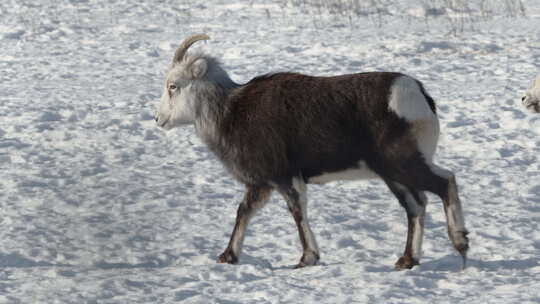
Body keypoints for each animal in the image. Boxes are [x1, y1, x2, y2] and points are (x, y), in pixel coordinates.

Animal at [155, 34, 468, 270]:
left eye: (173, 86)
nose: (159, 119)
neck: (230, 113)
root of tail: (419, 96)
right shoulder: (261, 185)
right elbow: (243, 212)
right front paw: (228, 257)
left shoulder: (285, 179)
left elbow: (297, 212)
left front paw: (307, 259)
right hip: (396, 176)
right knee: (416, 206)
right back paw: (407, 260)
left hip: (403, 165)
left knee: (445, 182)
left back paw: (461, 244)